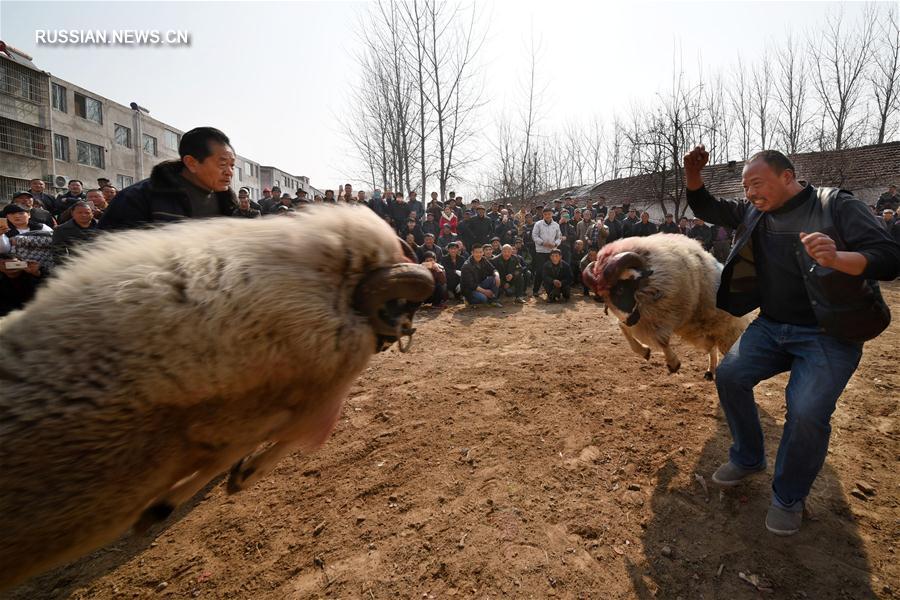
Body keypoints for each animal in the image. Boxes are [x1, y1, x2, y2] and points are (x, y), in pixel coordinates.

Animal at [0, 206, 436, 592]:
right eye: (397, 305)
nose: (403, 335)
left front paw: (175, 502)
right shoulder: (261, 408)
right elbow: (271, 443)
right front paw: (237, 477)